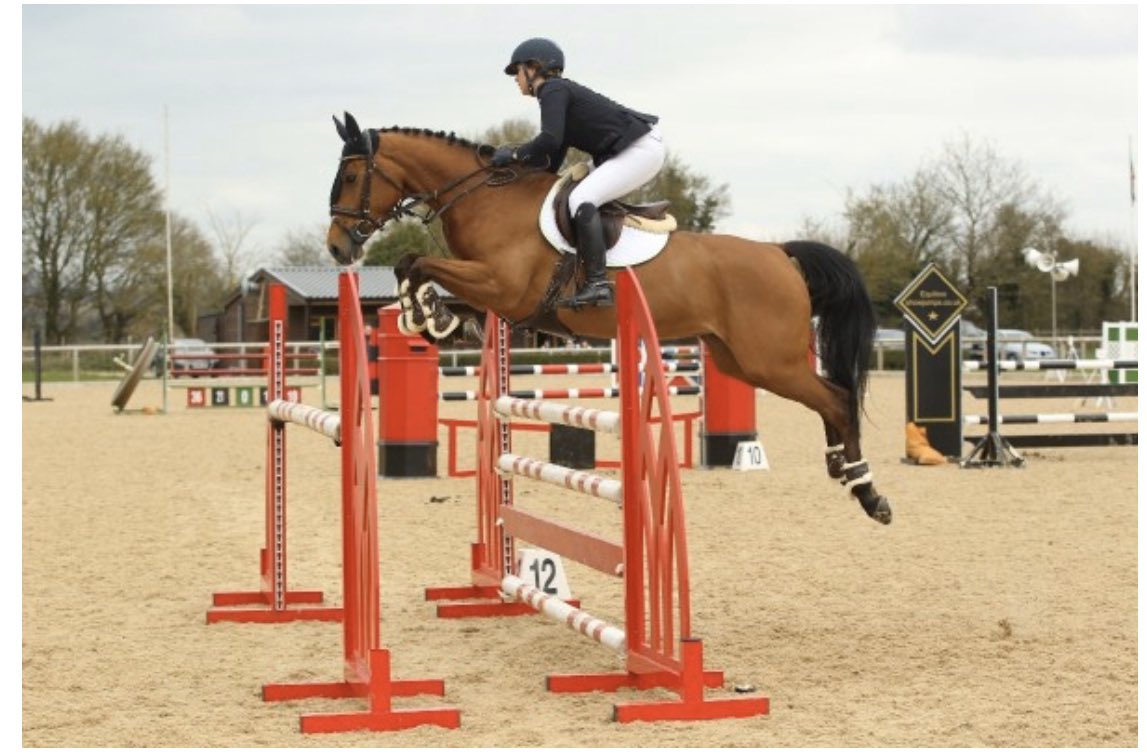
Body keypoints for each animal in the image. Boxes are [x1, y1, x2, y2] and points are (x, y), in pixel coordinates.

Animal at [327, 112, 892, 525]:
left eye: (351, 176)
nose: (336, 247)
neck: (485, 198)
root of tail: (780, 252)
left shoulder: (501, 286)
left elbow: (416, 262)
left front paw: (425, 314)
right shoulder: (495, 296)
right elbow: (415, 268)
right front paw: (432, 319)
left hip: (770, 360)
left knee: (835, 398)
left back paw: (867, 490)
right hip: (738, 360)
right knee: (828, 398)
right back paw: (843, 469)